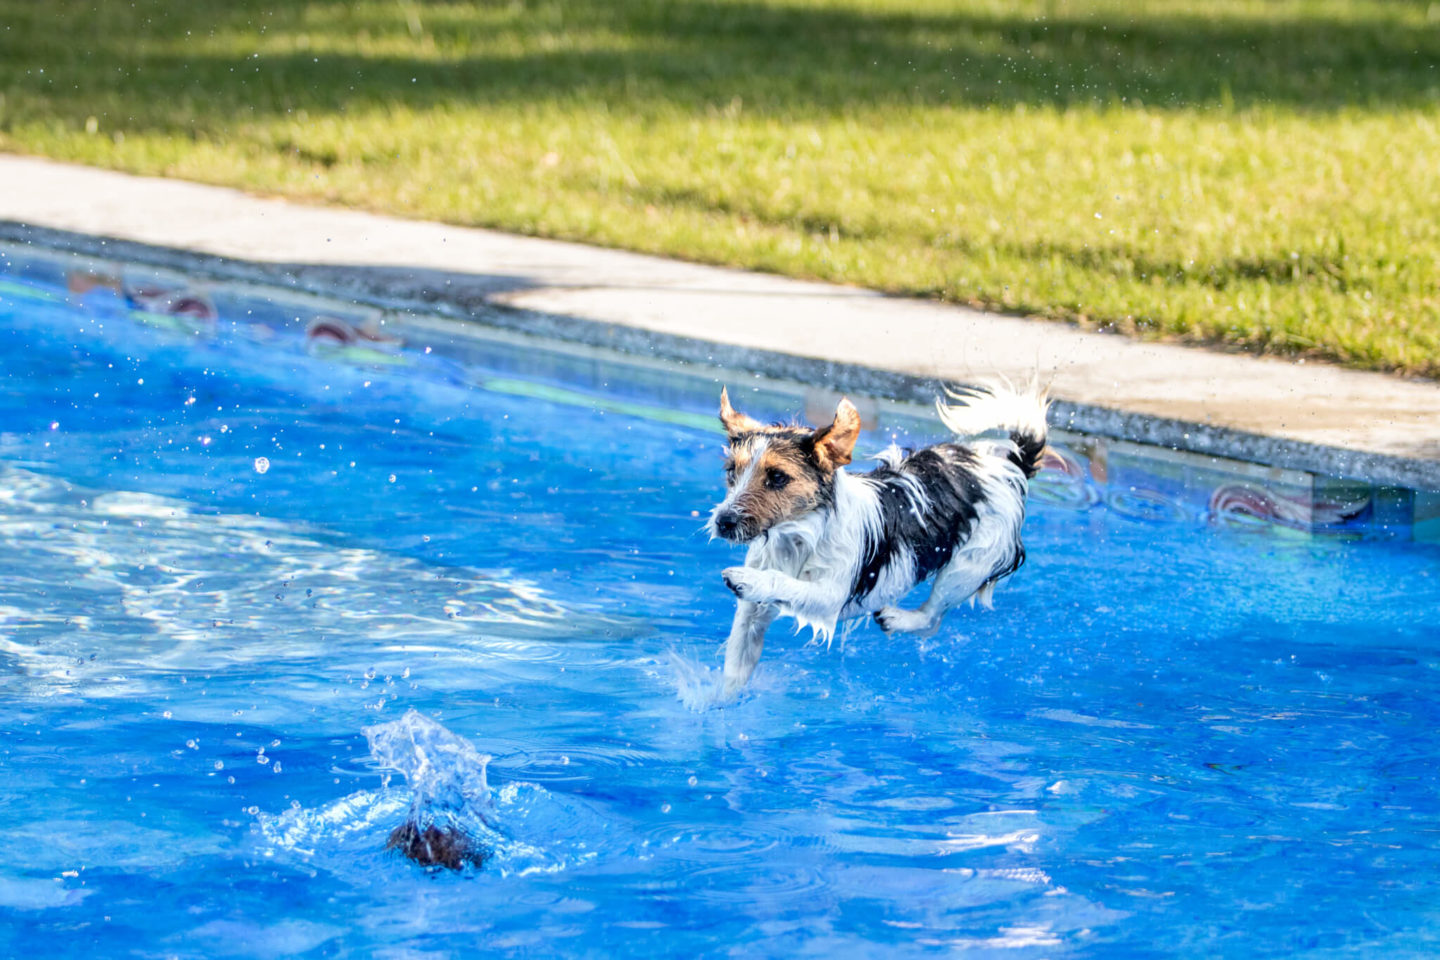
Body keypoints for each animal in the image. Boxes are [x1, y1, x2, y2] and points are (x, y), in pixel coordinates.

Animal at [708, 382, 1048, 699]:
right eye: (731, 471)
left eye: (778, 477)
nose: (722, 522)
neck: (797, 536)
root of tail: (1009, 464)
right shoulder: (752, 616)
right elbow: (736, 667)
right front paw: (720, 705)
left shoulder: (829, 596)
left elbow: (781, 581)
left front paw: (748, 579)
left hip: (967, 566)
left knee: (932, 618)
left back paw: (898, 618)